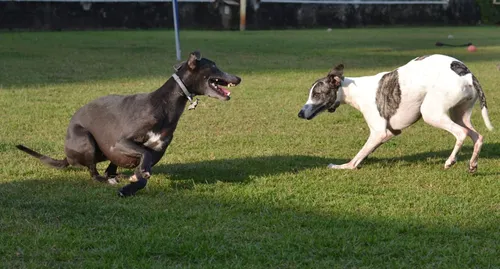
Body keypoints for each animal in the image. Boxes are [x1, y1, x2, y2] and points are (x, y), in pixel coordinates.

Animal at [298, 54, 494, 172]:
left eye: (316, 94)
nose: (300, 114)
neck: (355, 90)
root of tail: (467, 73)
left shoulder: (379, 132)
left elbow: (357, 158)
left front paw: (343, 166)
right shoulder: (390, 132)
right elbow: (365, 153)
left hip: (431, 113)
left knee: (461, 133)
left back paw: (450, 161)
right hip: (459, 114)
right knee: (477, 136)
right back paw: (472, 164)